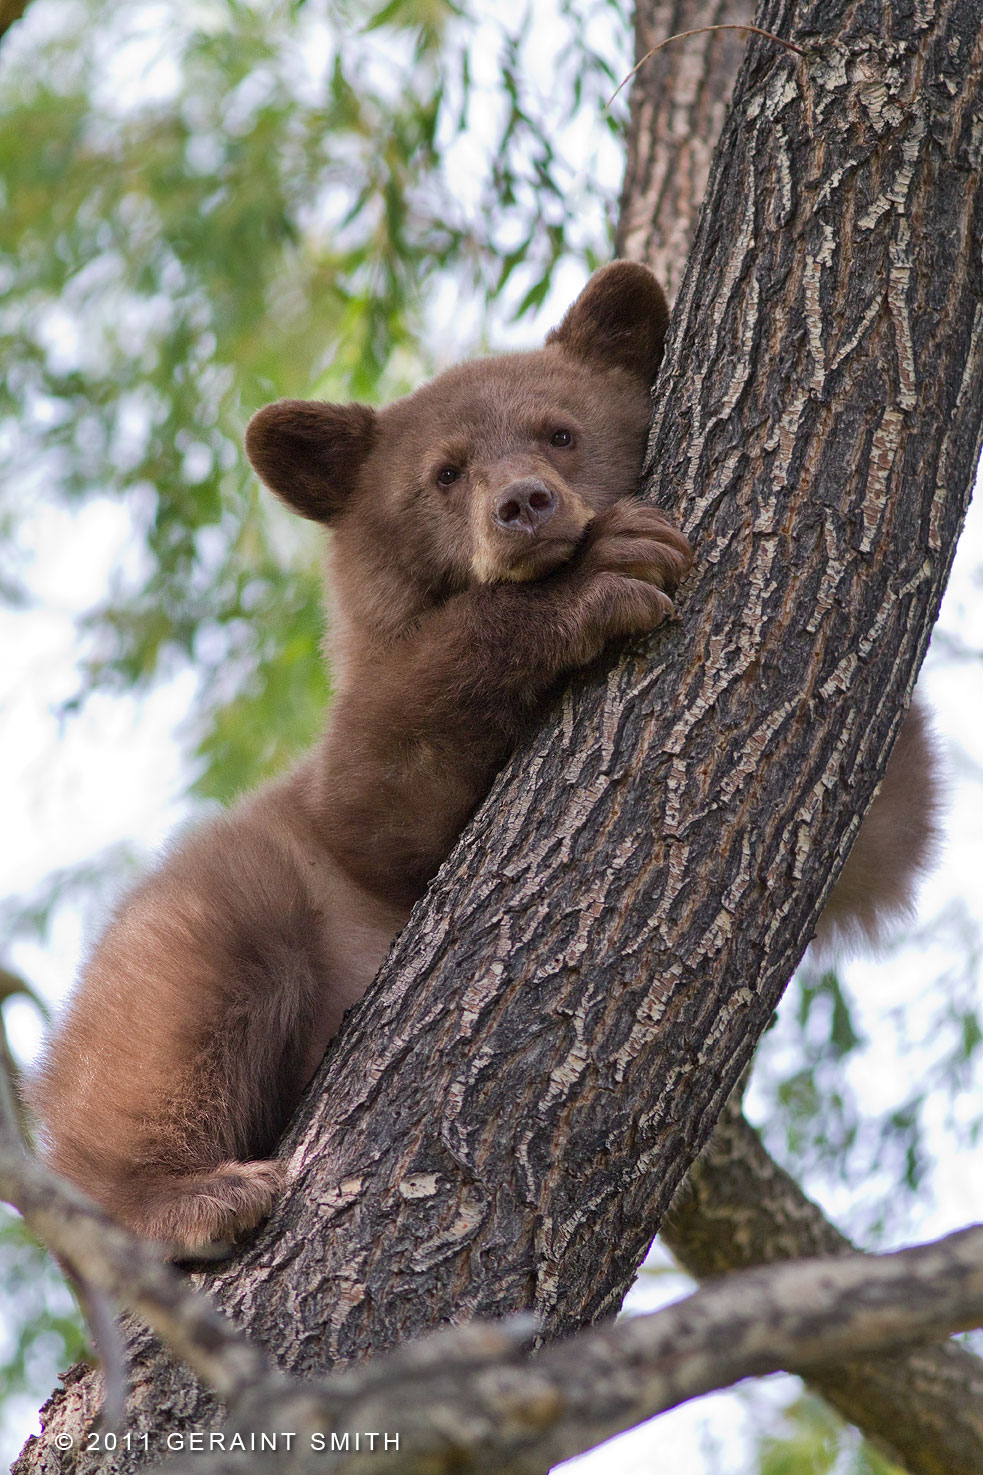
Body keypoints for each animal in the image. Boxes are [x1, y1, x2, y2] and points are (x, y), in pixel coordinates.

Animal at [22, 268, 932, 1256]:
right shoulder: (346, 771)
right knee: (173, 1004)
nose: (524, 506)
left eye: (560, 430)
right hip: (213, 898)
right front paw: (593, 572)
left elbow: (882, 826)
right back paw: (186, 1197)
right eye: (445, 472)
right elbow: (383, 787)